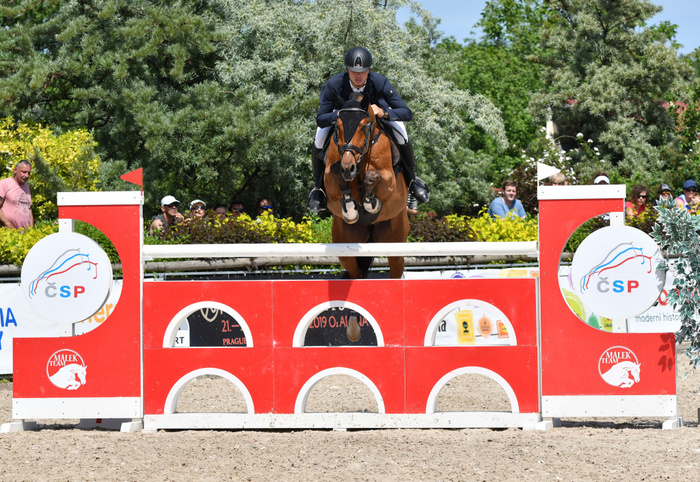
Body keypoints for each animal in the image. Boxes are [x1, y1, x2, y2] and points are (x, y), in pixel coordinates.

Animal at [324, 92, 409, 280]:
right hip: (345, 243)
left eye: (363, 127)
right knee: (354, 270)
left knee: (396, 265)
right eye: (338, 128)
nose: (348, 168)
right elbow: (335, 172)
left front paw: (371, 203)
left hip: (395, 239)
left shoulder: (390, 182)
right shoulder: (329, 181)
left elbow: (372, 176)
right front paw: (350, 208)